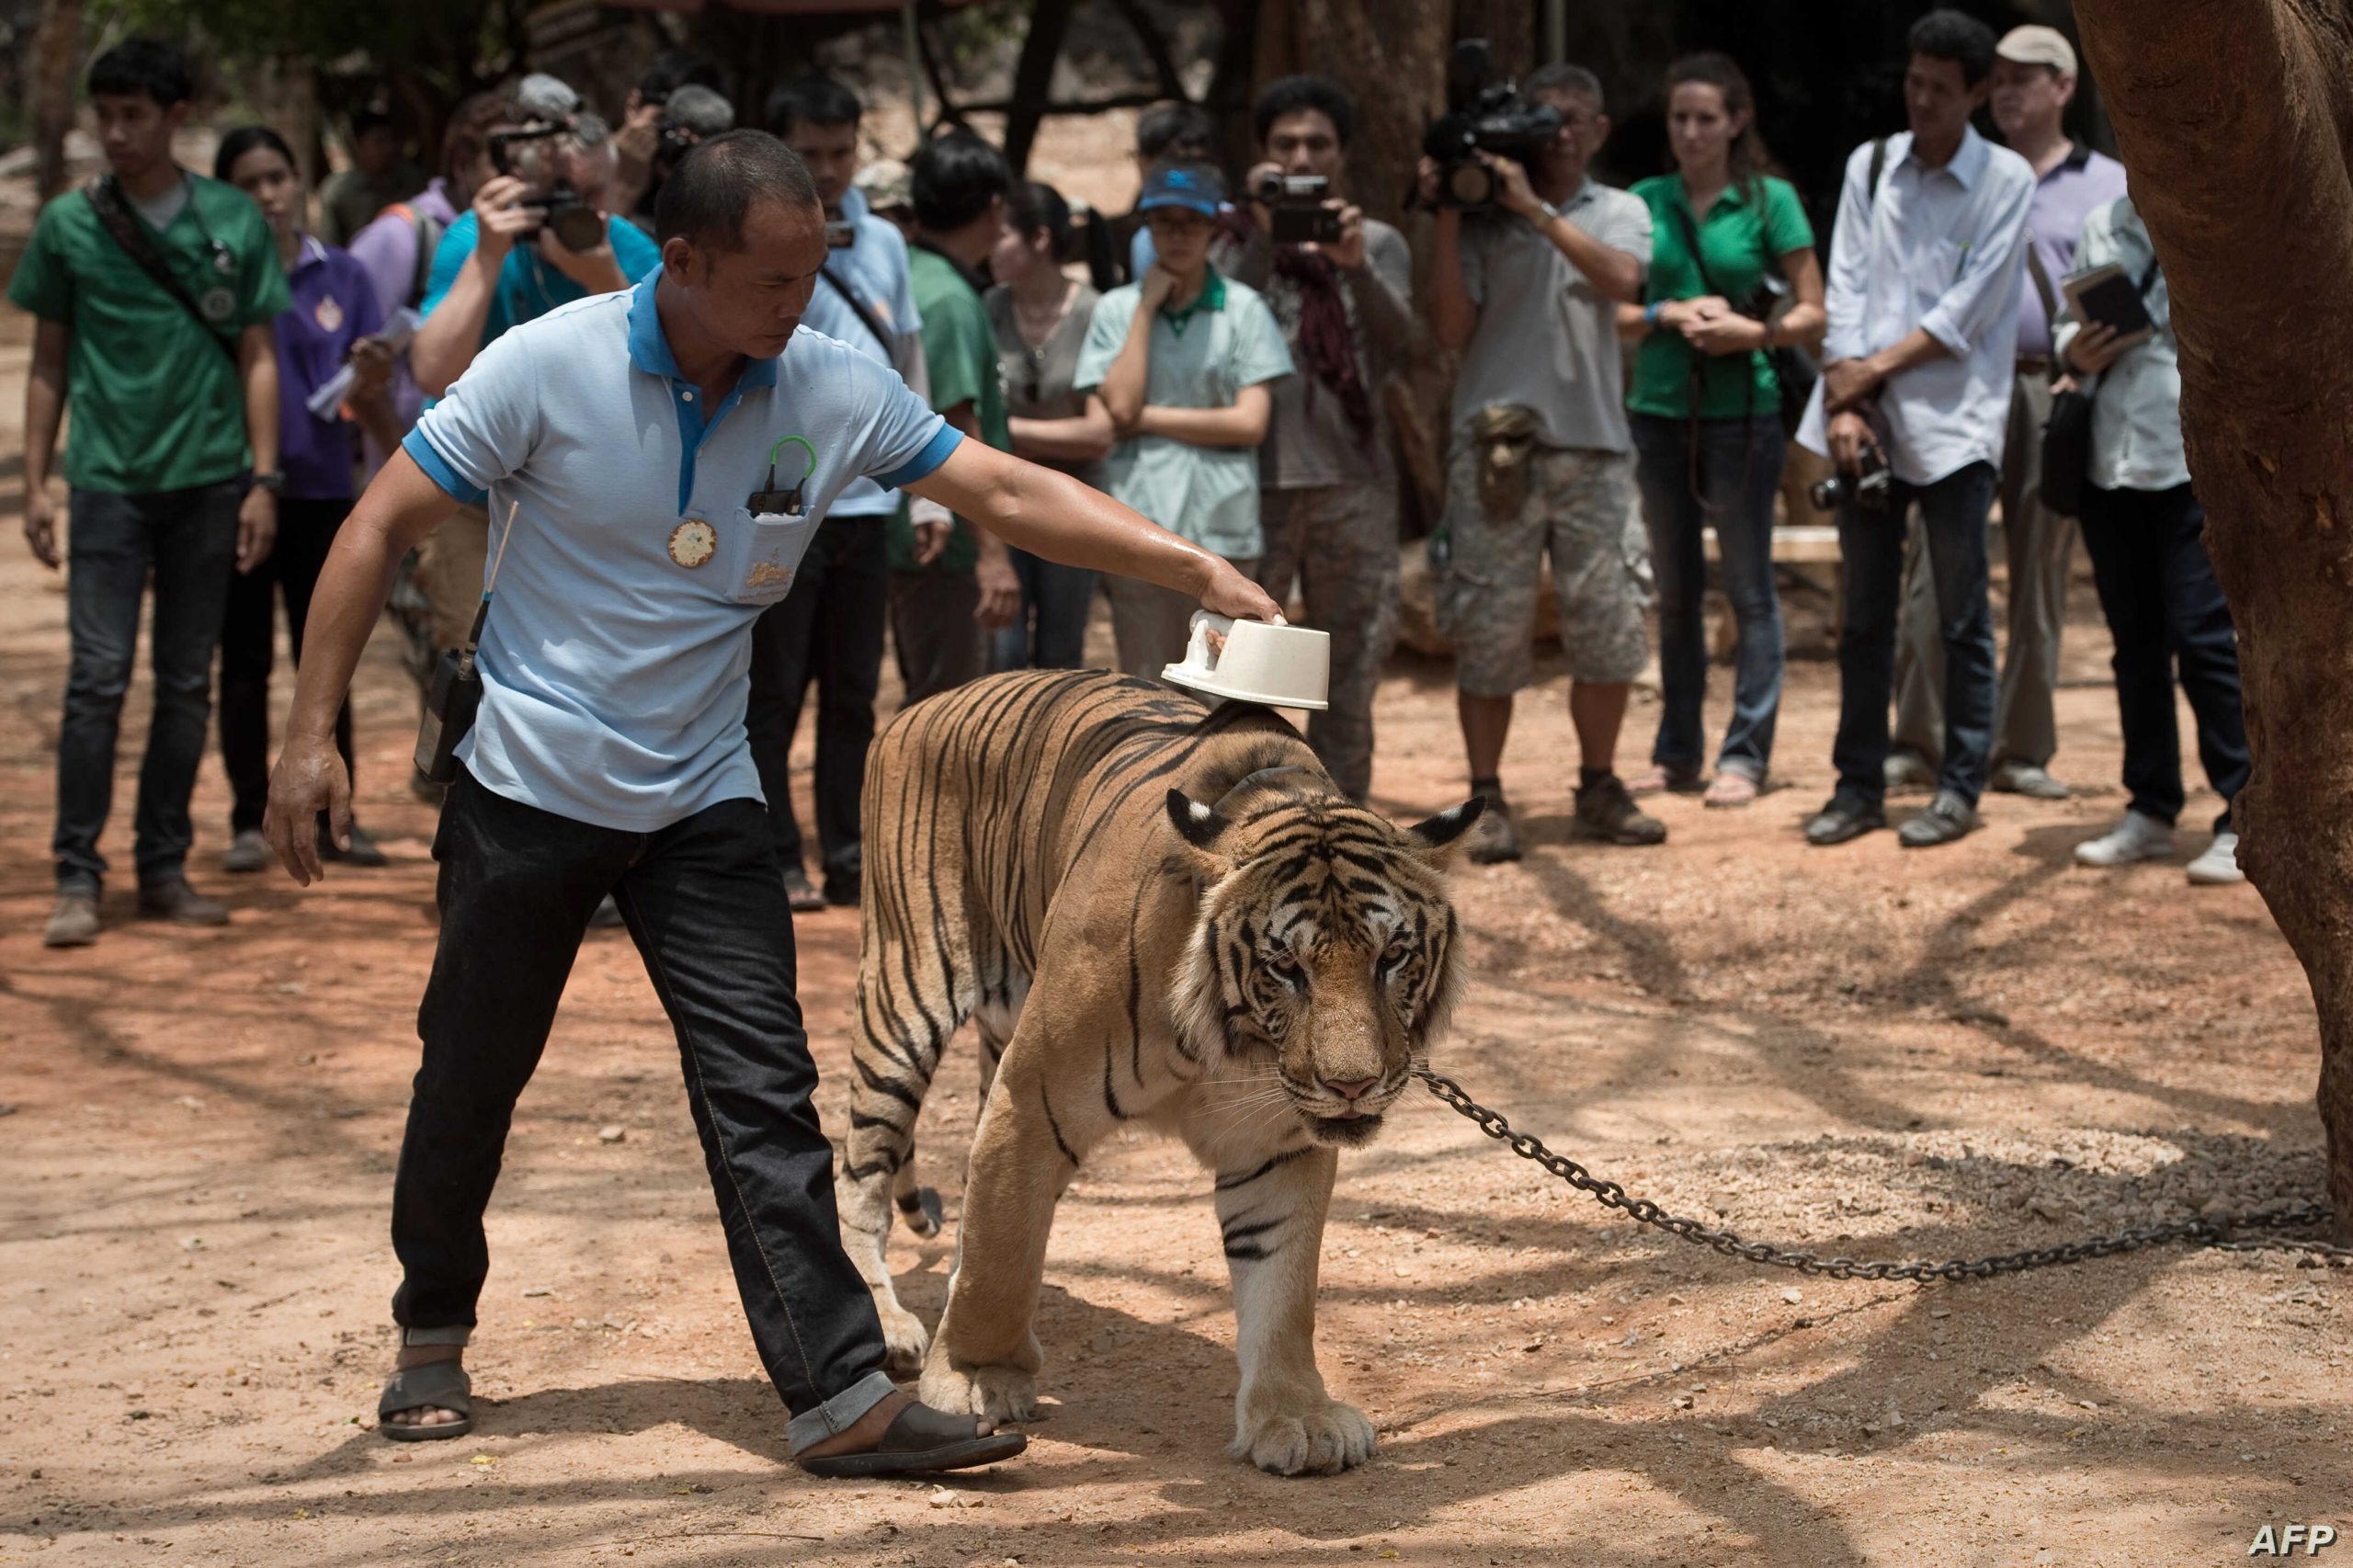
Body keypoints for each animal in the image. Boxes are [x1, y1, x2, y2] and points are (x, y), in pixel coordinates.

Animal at [837, 664, 1477, 1469]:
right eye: (1286, 967)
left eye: (1392, 957)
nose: (1351, 1084)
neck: (1233, 1043)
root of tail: (923, 704)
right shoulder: (1032, 1100)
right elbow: (1002, 1254)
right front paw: (976, 1379)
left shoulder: (1278, 1143)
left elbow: (1282, 1283)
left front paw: (1295, 1416)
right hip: (902, 995)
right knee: (860, 1176)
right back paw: (888, 1323)